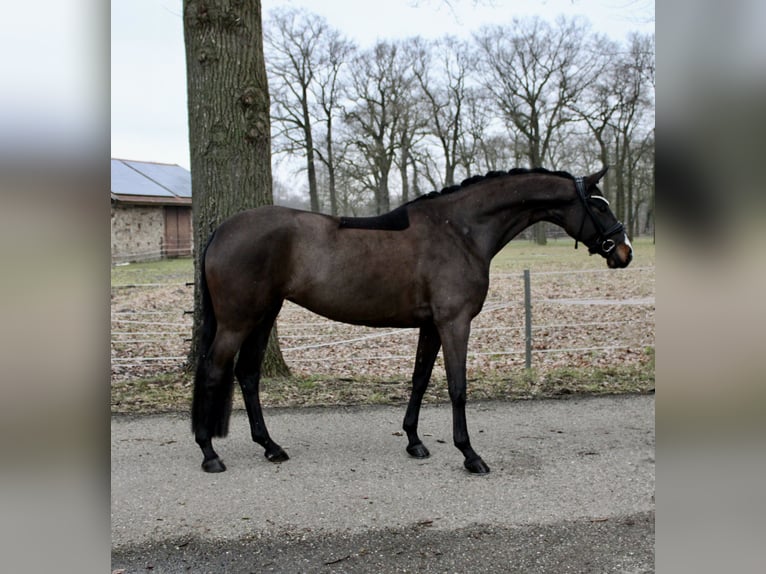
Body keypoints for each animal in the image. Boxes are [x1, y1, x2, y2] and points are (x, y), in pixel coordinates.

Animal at [192, 166, 632, 474]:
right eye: (598, 204)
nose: (624, 251)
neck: (460, 231)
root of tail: (222, 230)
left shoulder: (431, 325)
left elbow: (420, 379)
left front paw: (414, 442)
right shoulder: (455, 322)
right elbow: (457, 387)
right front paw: (470, 455)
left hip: (265, 314)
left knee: (248, 374)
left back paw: (270, 446)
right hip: (238, 320)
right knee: (214, 371)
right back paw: (210, 453)